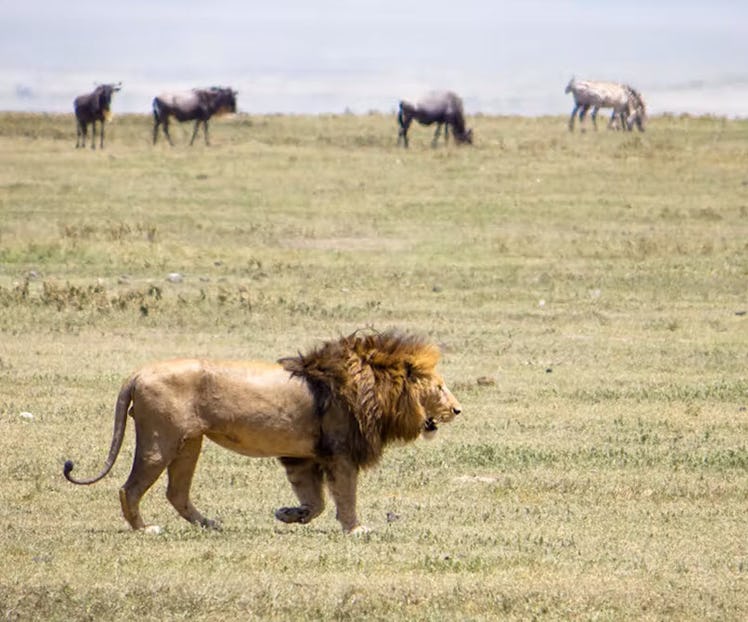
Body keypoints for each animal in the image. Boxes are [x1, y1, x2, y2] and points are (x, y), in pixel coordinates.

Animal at [64, 332, 462, 536]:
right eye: (440, 387)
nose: (459, 410)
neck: (374, 386)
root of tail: (138, 373)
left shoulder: (303, 457)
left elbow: (316, 502)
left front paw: (289, 514)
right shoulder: (341, 453)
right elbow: (345, 497)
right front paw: (356, 529)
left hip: (189, 442)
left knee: (176, 492)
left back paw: (211, 524)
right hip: (160, 440)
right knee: (129, 488)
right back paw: (145, 529)